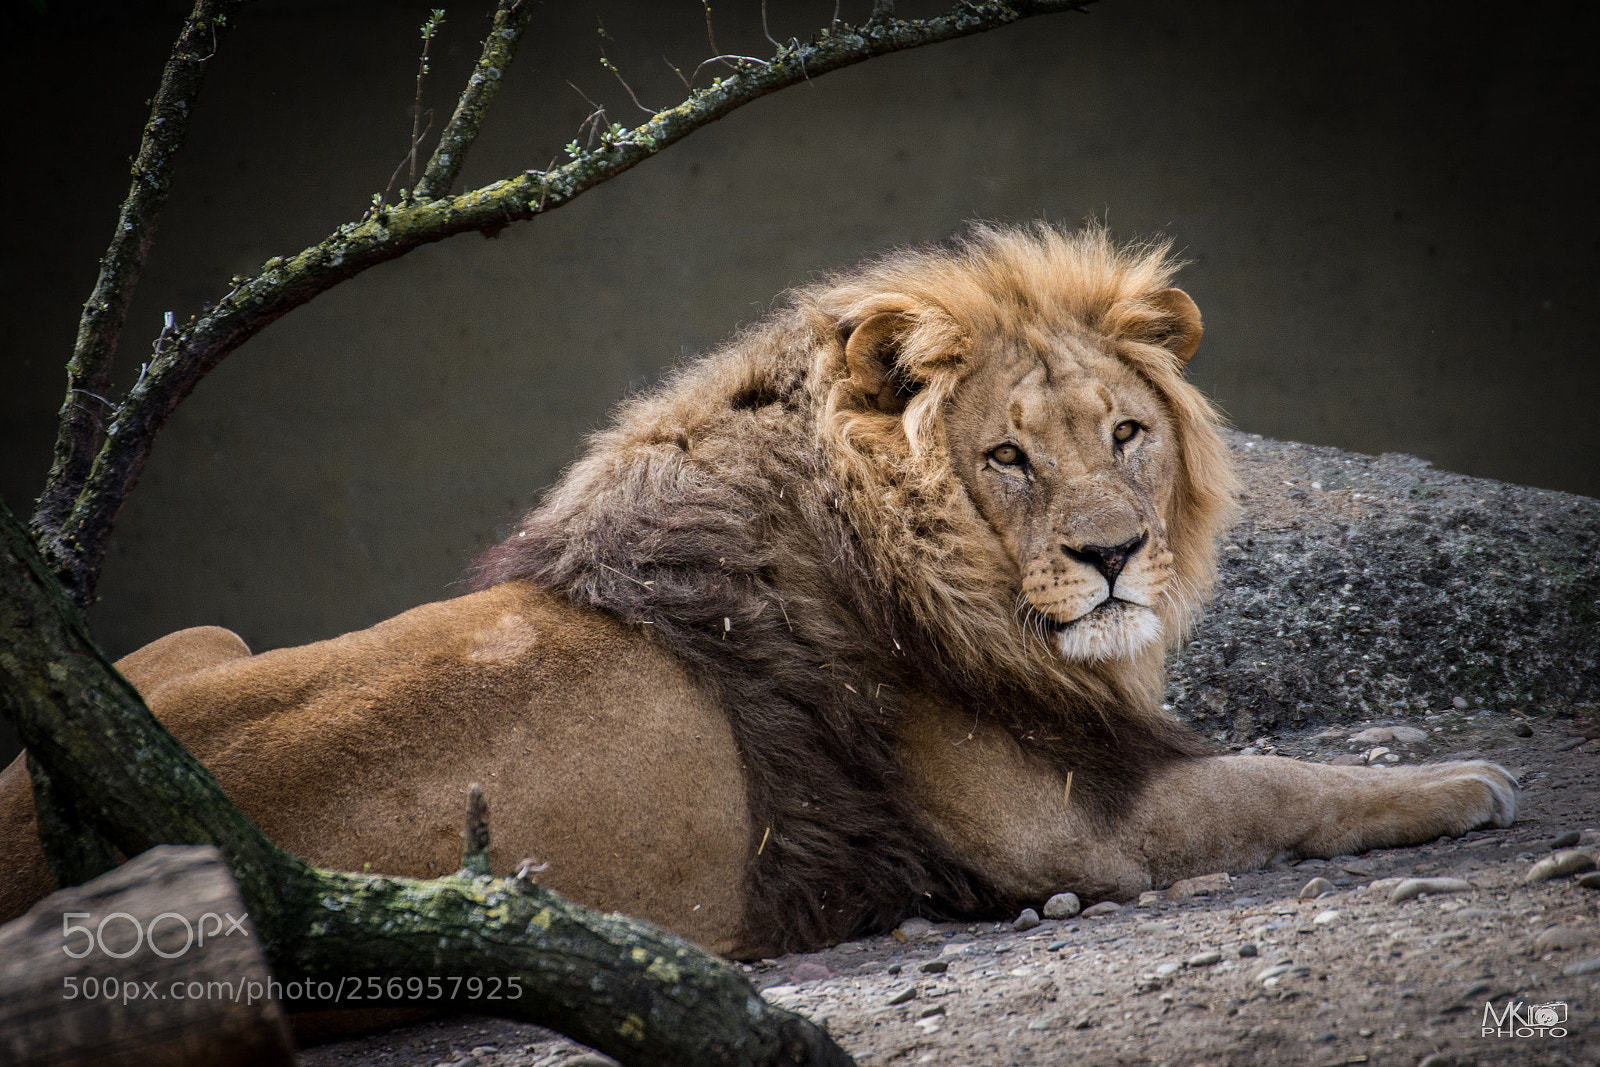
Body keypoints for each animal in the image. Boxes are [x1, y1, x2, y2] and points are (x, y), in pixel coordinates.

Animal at [0, 223, 1517, 957]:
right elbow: (1280, 782)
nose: (1111, 555)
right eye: (1008, 456)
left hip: (187, 637)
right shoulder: (1078, 835)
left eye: (1128, 433)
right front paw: (1463, 780)